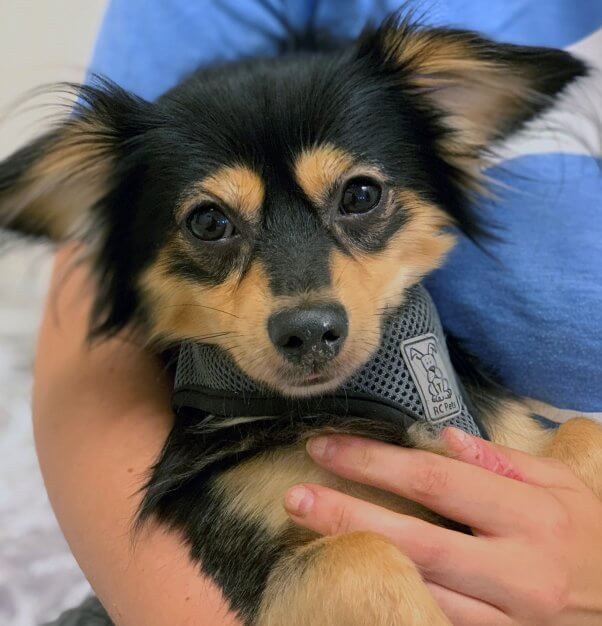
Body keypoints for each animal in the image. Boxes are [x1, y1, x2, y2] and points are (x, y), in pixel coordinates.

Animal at [1, 9, 600, 624]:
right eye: (208, 222)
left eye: (361, 195)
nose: (309, 331)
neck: (355, 404)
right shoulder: (255, 553)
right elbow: (355, 554)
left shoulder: (495, 443)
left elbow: (582, 430)